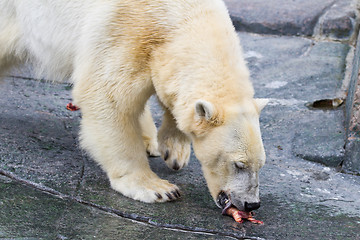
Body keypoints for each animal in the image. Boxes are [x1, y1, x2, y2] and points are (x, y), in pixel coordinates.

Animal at [0, 0, 268, 211]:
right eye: (239, 164)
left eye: (261, 164)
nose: (251, 204)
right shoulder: (125, 30)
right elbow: (108, 97)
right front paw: (158, 188)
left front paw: (174, 150)